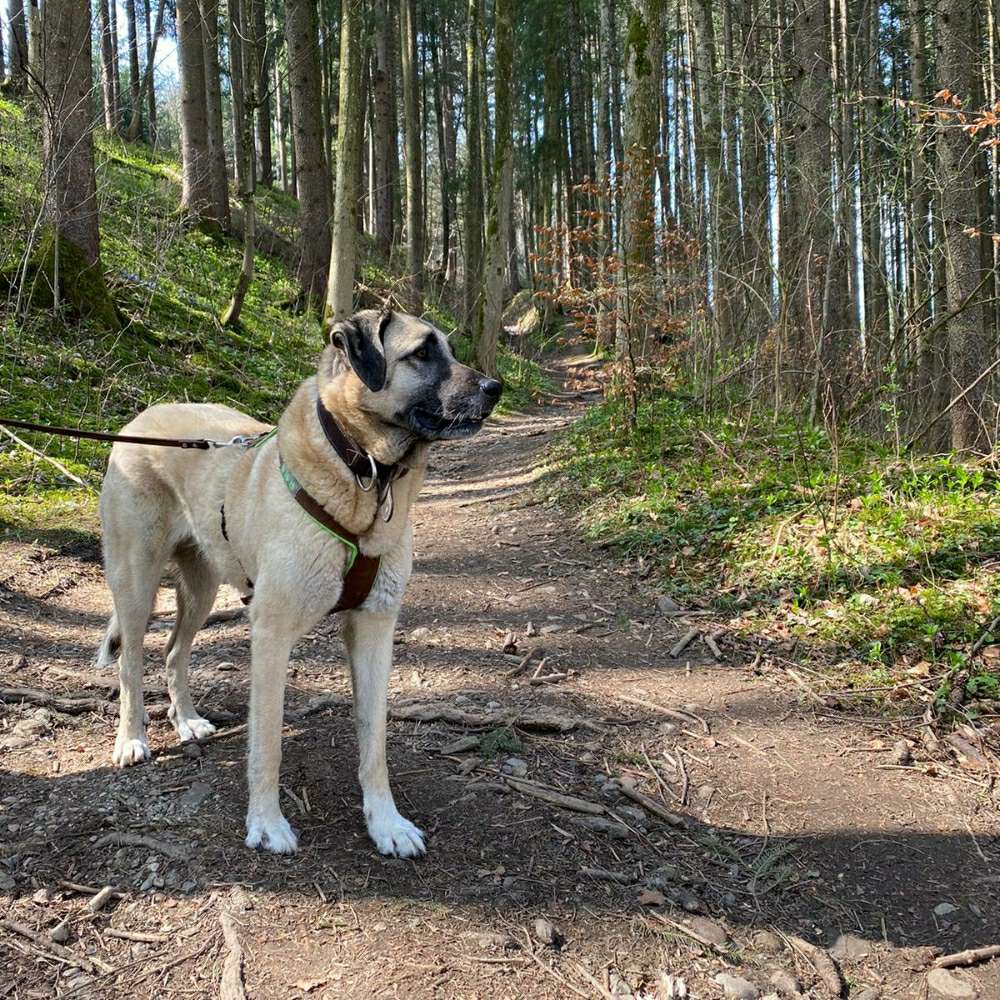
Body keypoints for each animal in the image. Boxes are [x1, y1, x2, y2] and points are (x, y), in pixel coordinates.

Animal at [95, 308, 500, 856]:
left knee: (174, 651)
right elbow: (267, 742)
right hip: (136, 583)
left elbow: (374, 741)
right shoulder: (271, 634)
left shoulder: (375, 630)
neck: (364, 474)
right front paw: (267, 822)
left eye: (452, 351)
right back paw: (131, 739)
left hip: (201, 588)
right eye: (421, 353)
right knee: (131, 663)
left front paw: (386, 823)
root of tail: (137, 422)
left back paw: (187, 721)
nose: (496, 388)